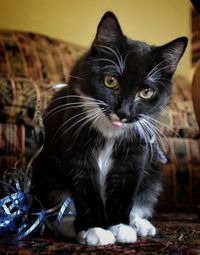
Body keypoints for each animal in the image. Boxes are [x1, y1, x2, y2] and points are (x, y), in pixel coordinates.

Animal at [31, 11, 188, 245]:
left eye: (146, 92)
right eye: (110, 81)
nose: (123, 112)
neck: (111, 130)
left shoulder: (135, 151)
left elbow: (125, 188)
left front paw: (121, 226)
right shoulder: (75, 140)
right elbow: (84, 185)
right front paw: (96, 229)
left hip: (152, 178)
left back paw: (141, 224)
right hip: (45, 169)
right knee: (54, 208)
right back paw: (70, 226)